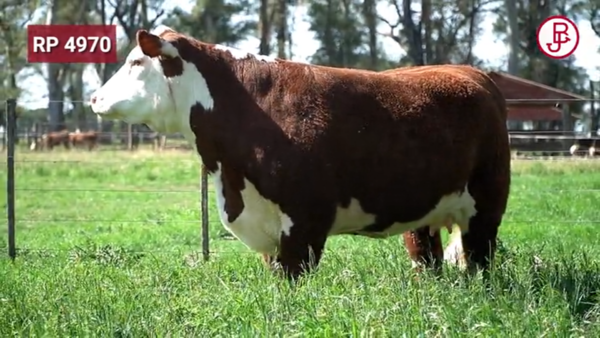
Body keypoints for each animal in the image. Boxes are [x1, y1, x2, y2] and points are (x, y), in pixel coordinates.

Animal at [89, 25, 510, 280]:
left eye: (135, 62)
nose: (94, 97)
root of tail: (470, 72)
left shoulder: (304, 221)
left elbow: (293, 280)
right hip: (422, 212)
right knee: (426, 257)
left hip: (486, 208)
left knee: (479, 262)